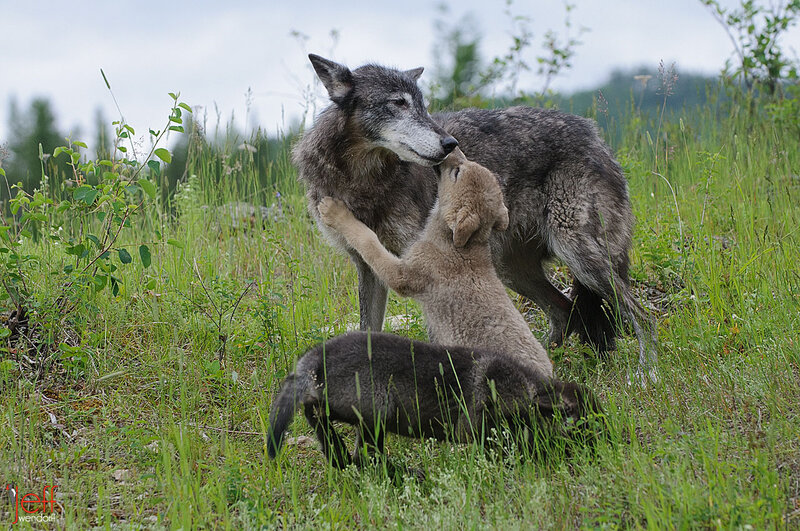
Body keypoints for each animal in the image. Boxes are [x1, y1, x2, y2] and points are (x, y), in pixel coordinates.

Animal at [267, 331, 604, 469]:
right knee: (365, 457)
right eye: (588, 423)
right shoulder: (483, 427)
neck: (526, 387)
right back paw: (410, 474)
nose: (609, 445)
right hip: (376, 415)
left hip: (349, 416)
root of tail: (314, 360)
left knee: (334, 444)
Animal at [317, 147, 553, 379]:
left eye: (457, 172)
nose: (453, 146)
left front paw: (334, 211)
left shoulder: (403, 273)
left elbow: (368, 239)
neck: (458, 244)